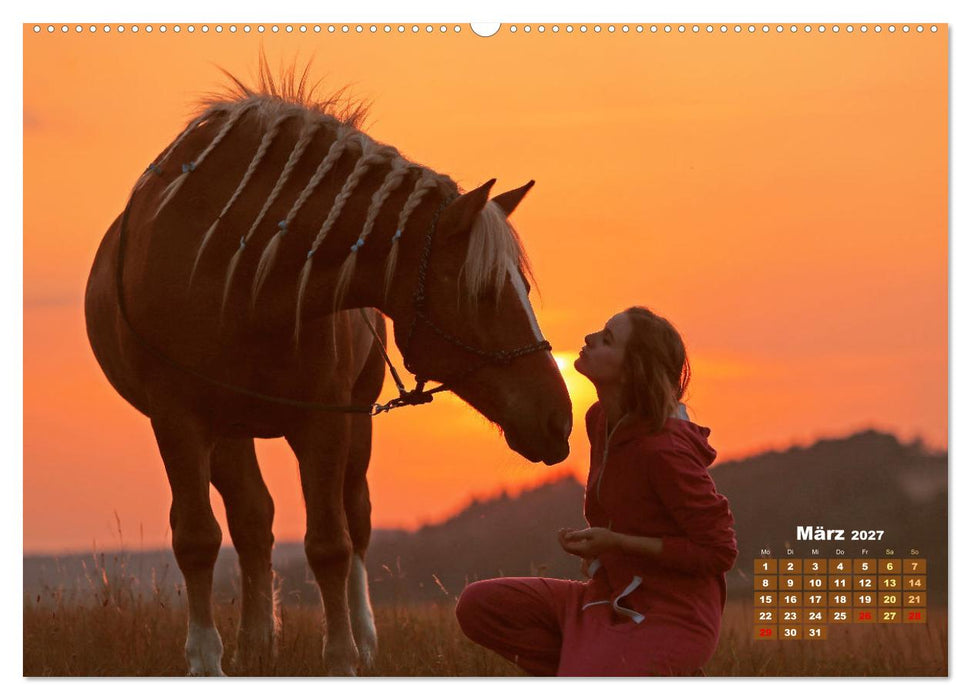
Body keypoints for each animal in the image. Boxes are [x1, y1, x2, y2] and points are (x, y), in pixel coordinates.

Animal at [83, 65, 573, 676]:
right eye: (483, 294)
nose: (559, 420)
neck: (231, 268)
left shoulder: (325, 419)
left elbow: (330, 543)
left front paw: (342, 657)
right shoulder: (179, 418)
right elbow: (198, 537)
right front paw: (206, 660)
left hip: (353, 424)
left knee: (353, 520)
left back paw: (360, 639)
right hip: (228, 430)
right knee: (252, 519)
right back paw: (255, 644)